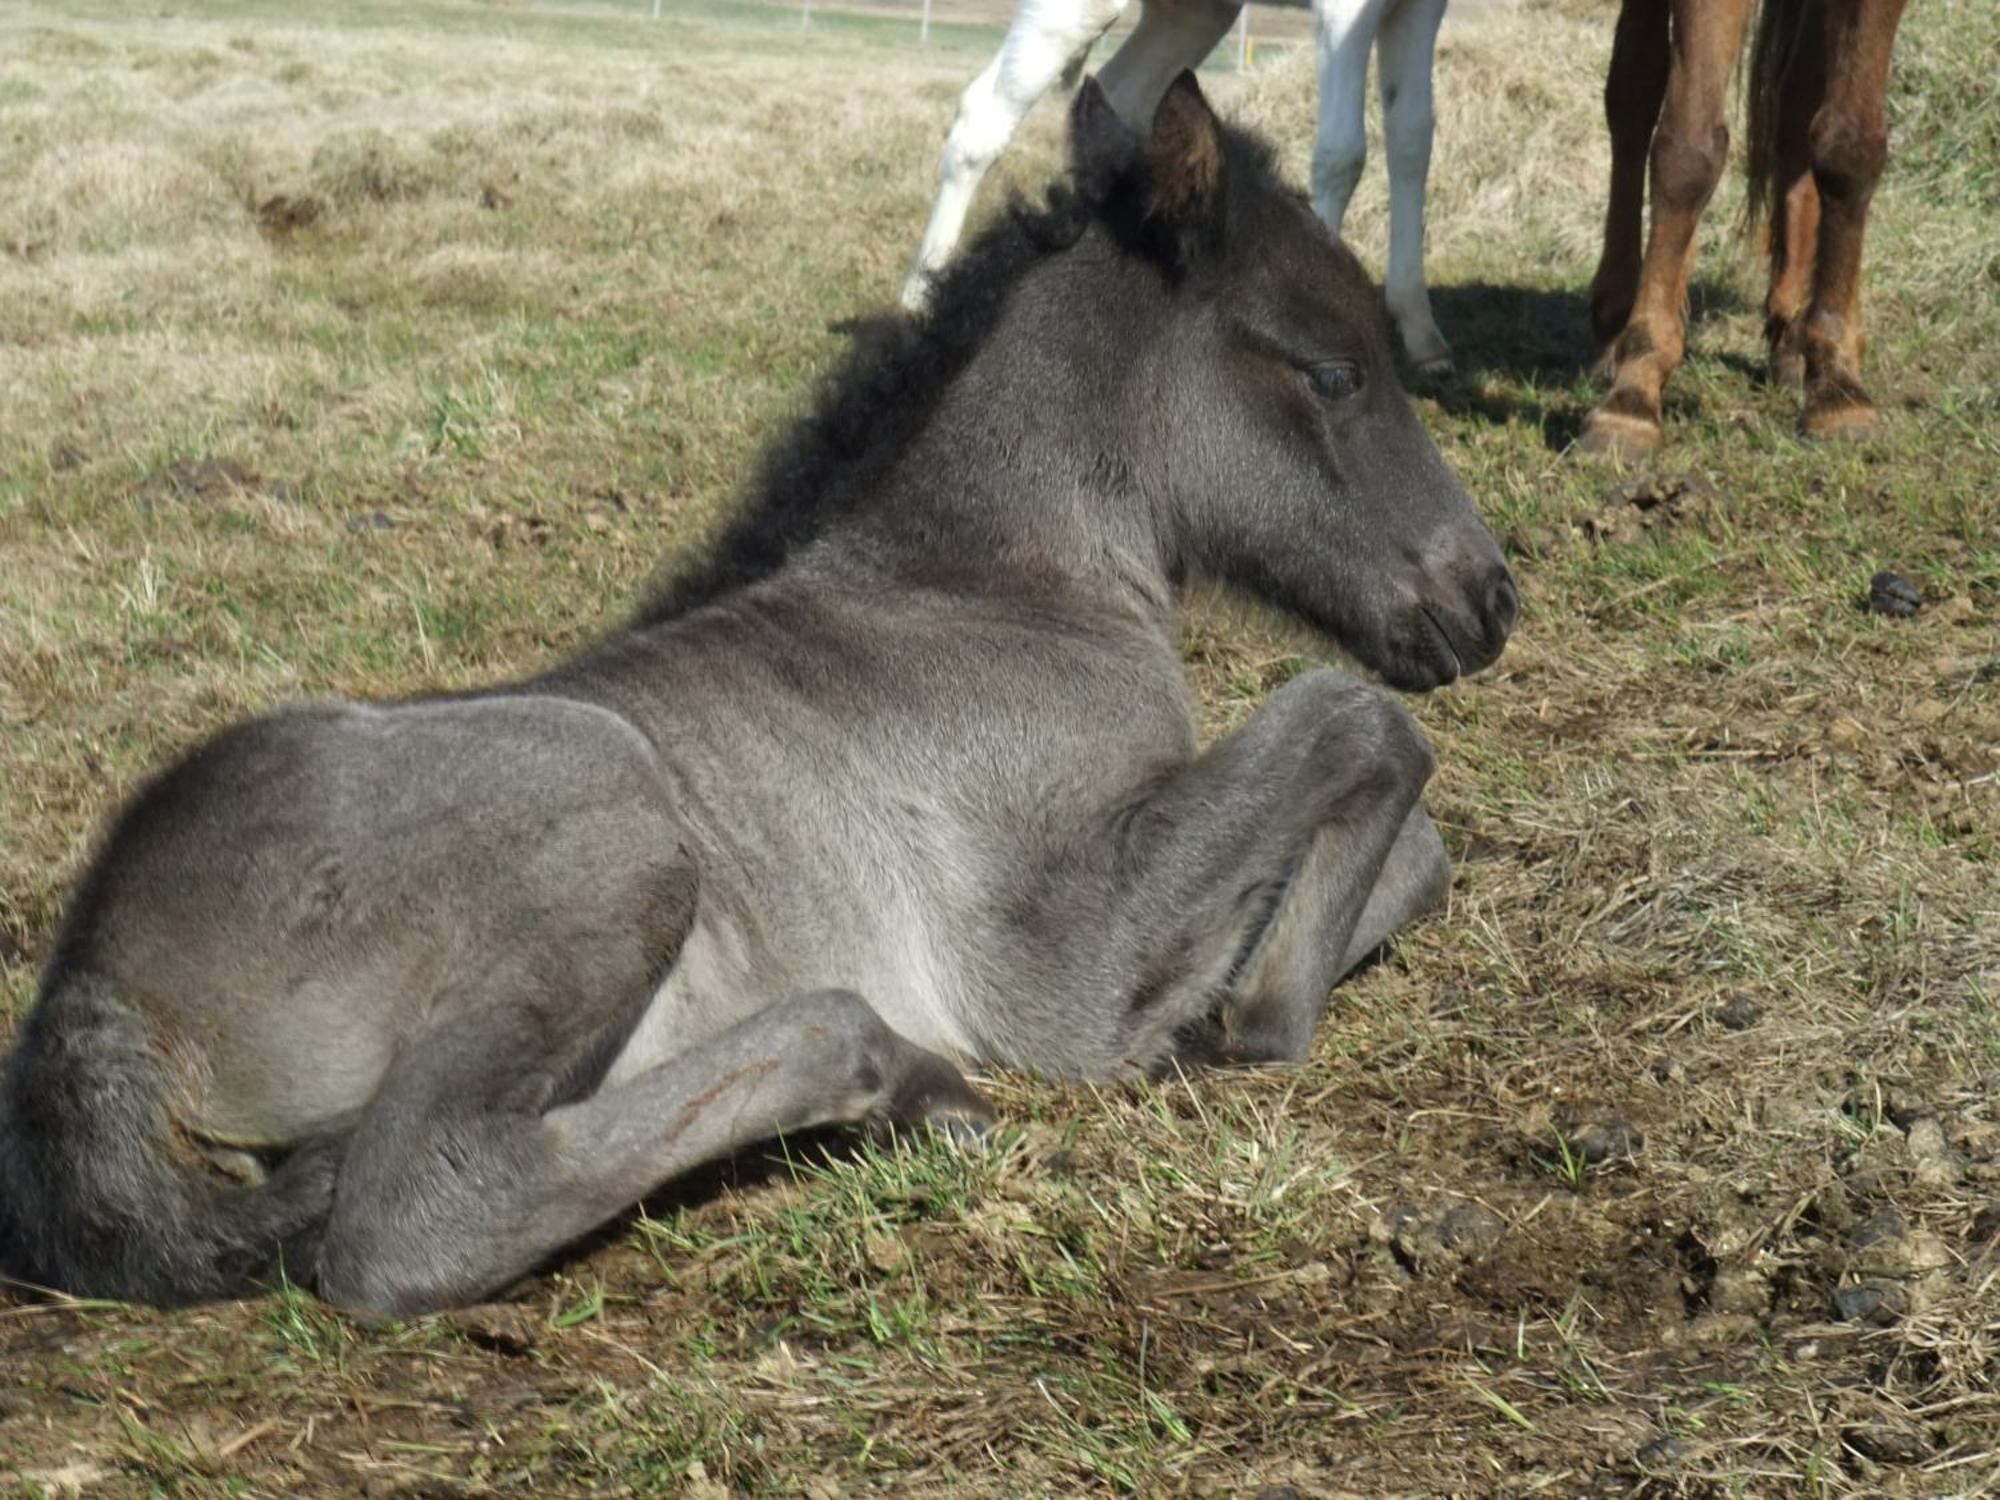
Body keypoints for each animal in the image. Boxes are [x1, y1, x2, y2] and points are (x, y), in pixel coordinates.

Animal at [0, 73, 1512, 1312]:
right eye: (1331, 370)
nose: (1486, 600)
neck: (991, 587)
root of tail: (94, 981)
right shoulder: (1052, 969)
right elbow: (1359, 719)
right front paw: (1253, 1016)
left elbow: (1419, 841)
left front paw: (1254, 974)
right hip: (612, 805)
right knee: (411, 1216)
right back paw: (894, 1072)